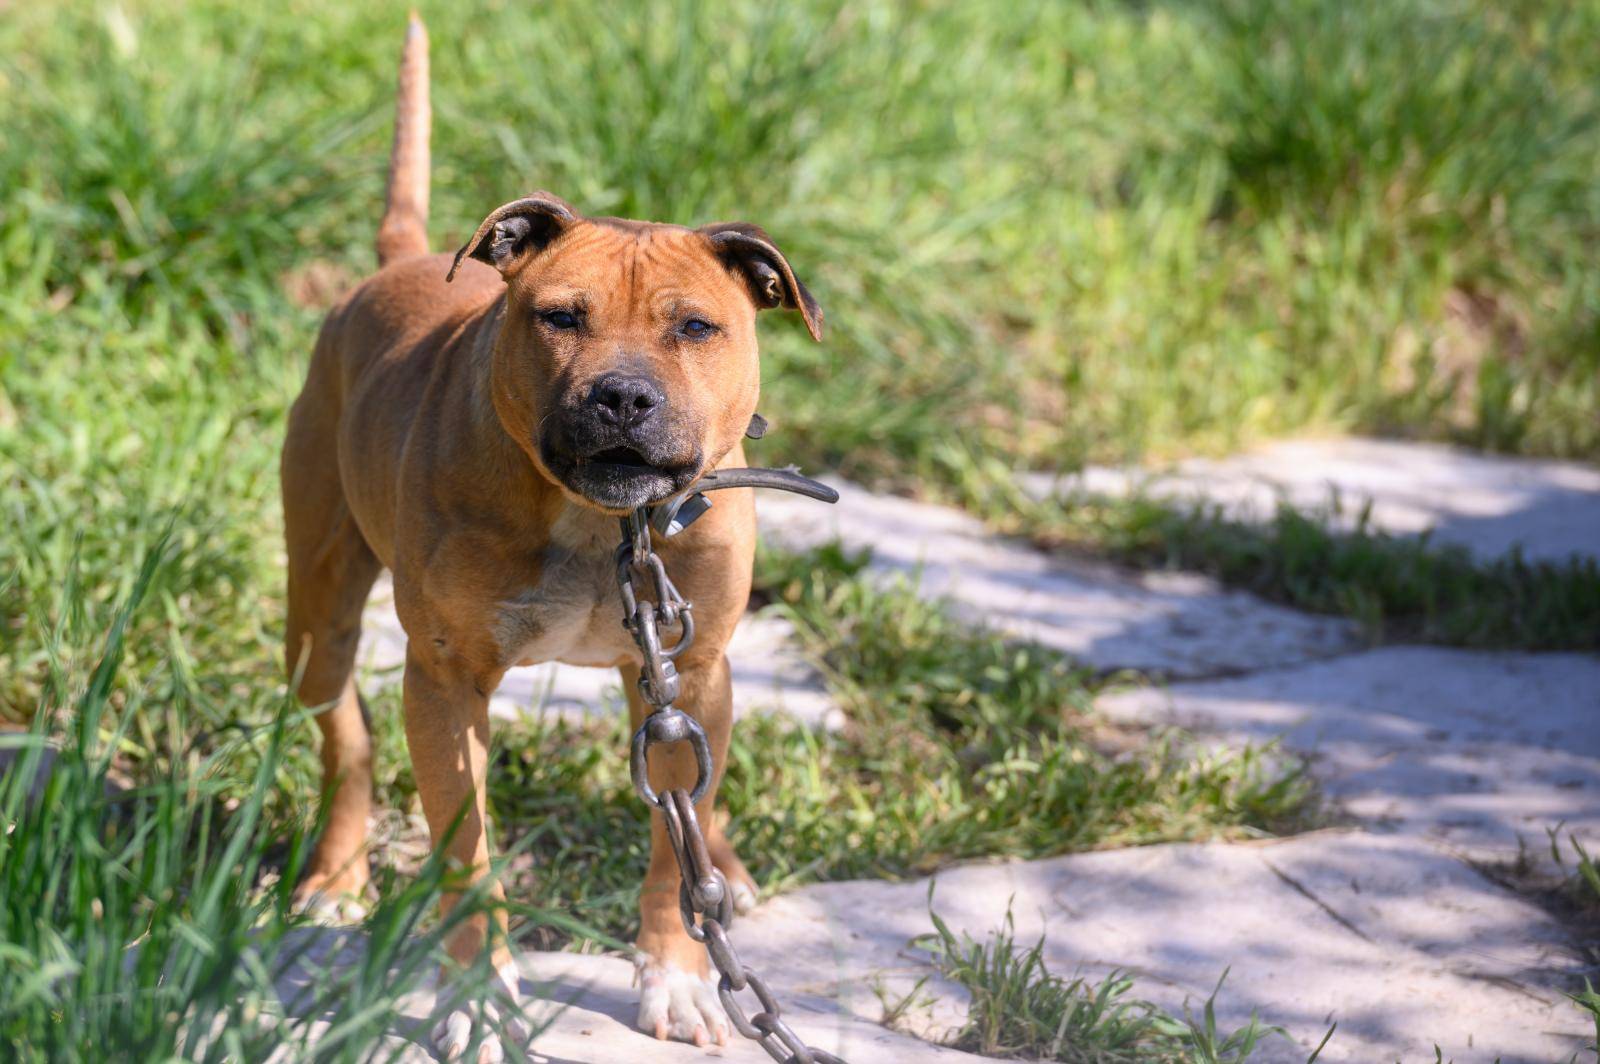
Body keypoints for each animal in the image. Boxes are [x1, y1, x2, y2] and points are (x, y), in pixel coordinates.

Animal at [280, 14, 819, 1056]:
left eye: (697, 328)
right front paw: (479, 998)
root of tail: (395, 263)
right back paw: (336, 876)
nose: (622, 395)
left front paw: (677, 976)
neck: (604, 524)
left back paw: (725, 864)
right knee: (345, 736)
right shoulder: (444, 686)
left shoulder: (689, 672)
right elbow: (468, 856)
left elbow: (672, 846)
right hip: (317, 613)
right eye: (559, 317)